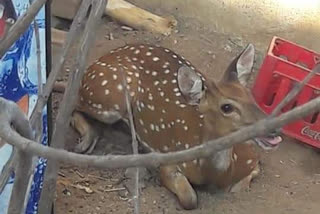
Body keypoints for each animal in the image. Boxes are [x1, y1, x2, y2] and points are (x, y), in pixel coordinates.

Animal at [70, 43, 280, 209]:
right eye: (226, 107)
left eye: (251, 96)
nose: (274, 129)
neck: (212, 174)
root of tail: (100, 59)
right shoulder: (170, 160)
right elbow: (190, 199)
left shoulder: (252, 155)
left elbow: (248, 178)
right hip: (111, 96)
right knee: (73, 104)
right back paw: (86, 140)